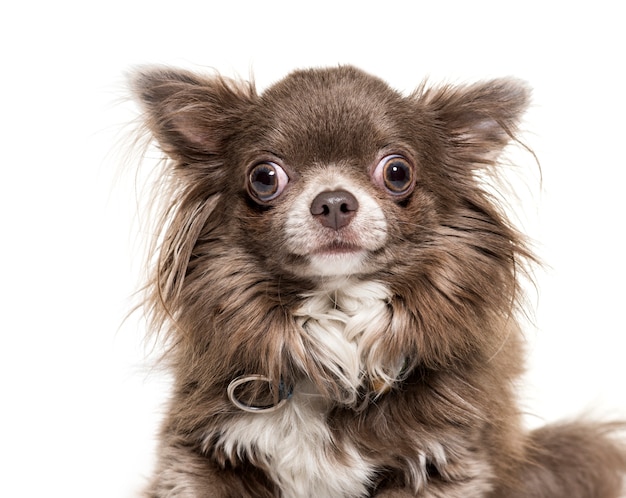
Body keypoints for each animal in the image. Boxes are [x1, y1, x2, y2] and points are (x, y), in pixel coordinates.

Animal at [129, 66, 620, 498]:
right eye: (264, 177)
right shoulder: (198, 455)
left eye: (397, 172)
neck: (337, 315)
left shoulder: (442, 462)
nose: (333, 201)